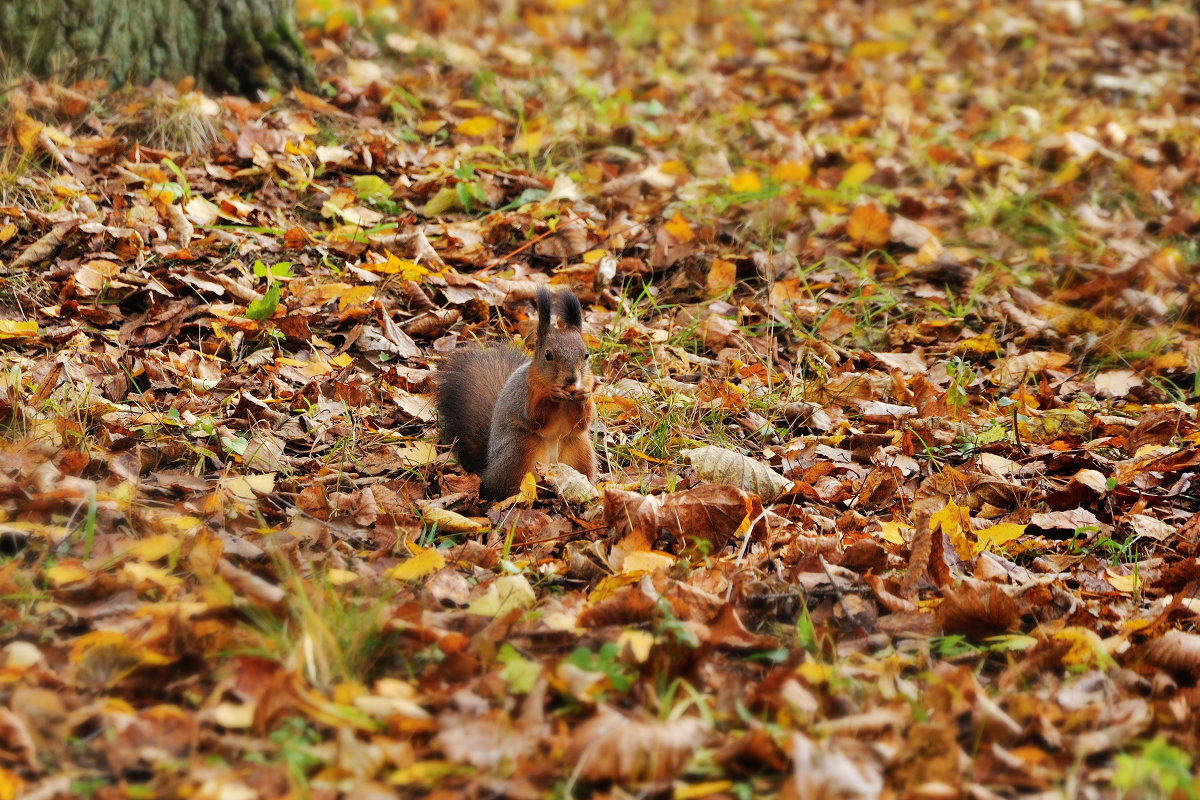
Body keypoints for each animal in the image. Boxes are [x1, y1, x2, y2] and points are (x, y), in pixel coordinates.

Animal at [436, 287, 595, 501]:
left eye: (586, 354)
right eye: (548, 355)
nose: (571, 379)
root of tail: (487, 472)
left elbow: (580, 424)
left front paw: (583, 397)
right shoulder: (522, 395)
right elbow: (534, 418)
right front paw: (551, 395)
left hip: (579, 450)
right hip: (520, 448)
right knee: (504, 490)